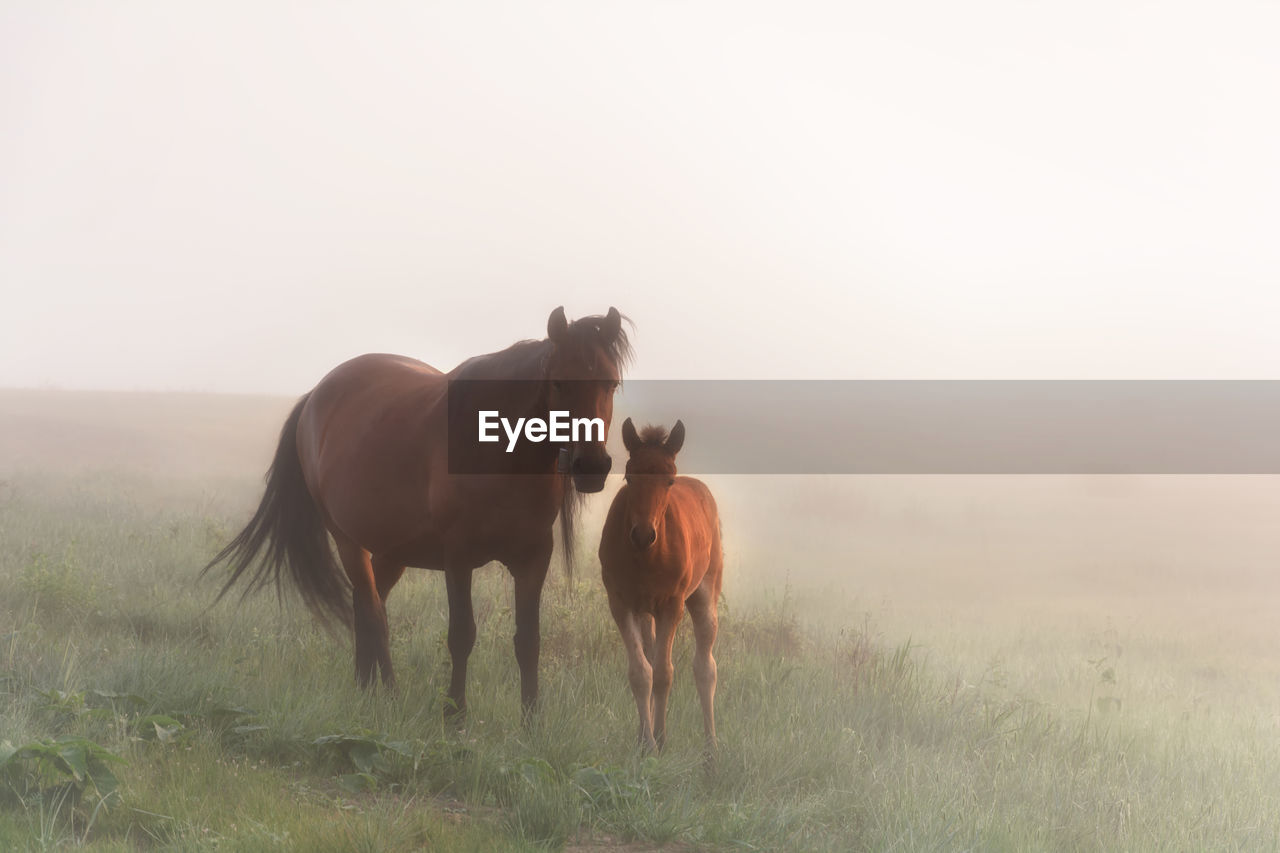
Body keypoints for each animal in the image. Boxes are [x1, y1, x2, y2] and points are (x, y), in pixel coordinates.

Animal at [199, 302, 629, 712]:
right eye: (559, 382)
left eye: (611, 383)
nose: (591, 466)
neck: (500, 454)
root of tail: (316, 396)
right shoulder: (458, 556)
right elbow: (461, 636)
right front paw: (454, 715)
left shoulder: (533, 557)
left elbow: (529, 641)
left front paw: (531, 721)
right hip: (348, 540)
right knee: (374, 614)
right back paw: (389, 693)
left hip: (394, 551)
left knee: (366, 606)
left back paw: (365, 688)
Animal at [596, 414, 721, 747]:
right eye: (629, 477)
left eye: (669, 481)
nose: (642, 534)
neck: (648, 556)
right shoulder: (621, 604)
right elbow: (642, 672)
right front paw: (647, 742)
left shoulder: (672, 606)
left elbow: (665, 673)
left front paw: (661, 740)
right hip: (645, 612)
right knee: (652, 657)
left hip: (704, 595)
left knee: (705, 666)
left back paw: (711, 747)